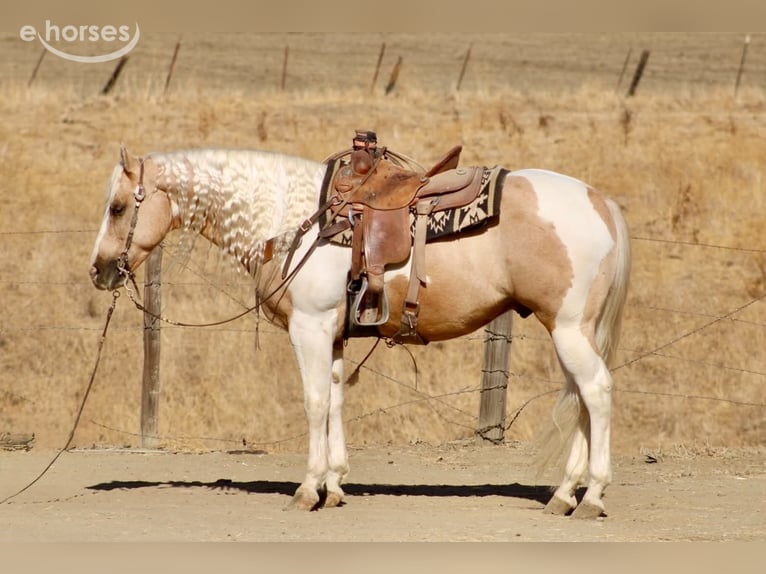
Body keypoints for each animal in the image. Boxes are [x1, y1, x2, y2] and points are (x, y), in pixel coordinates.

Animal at [89, 145, 631, 518]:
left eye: (117, 208)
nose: (98, 270)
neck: (295, 221)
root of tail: (600, 200)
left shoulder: (308, 328)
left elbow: (314, 403)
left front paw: (308, 489)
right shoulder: (331, 336)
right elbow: (334, 401)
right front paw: (334, 486)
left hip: (568, 329)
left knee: (597, 393)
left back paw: (591, 496)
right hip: (571, 331)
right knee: (582, 399)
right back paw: (564, 494)